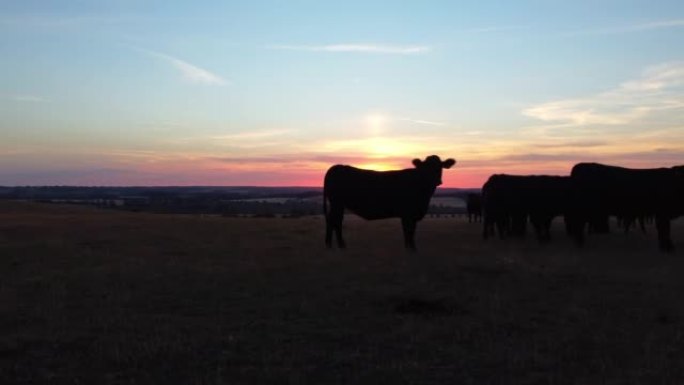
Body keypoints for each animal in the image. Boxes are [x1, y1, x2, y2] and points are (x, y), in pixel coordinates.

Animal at [324, 155, 456, 249]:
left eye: (440, 167)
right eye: (426, 168)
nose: (437, 180)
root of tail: (337, 167)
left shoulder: (411, 214)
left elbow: (409, 231)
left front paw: (410, 249)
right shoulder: (408, 213)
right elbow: (409, 231)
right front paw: (411, 250)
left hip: (338, 204)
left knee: (334, 221)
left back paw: (332, 245)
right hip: (337, 203)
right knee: (334, 221)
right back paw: (337, 245)